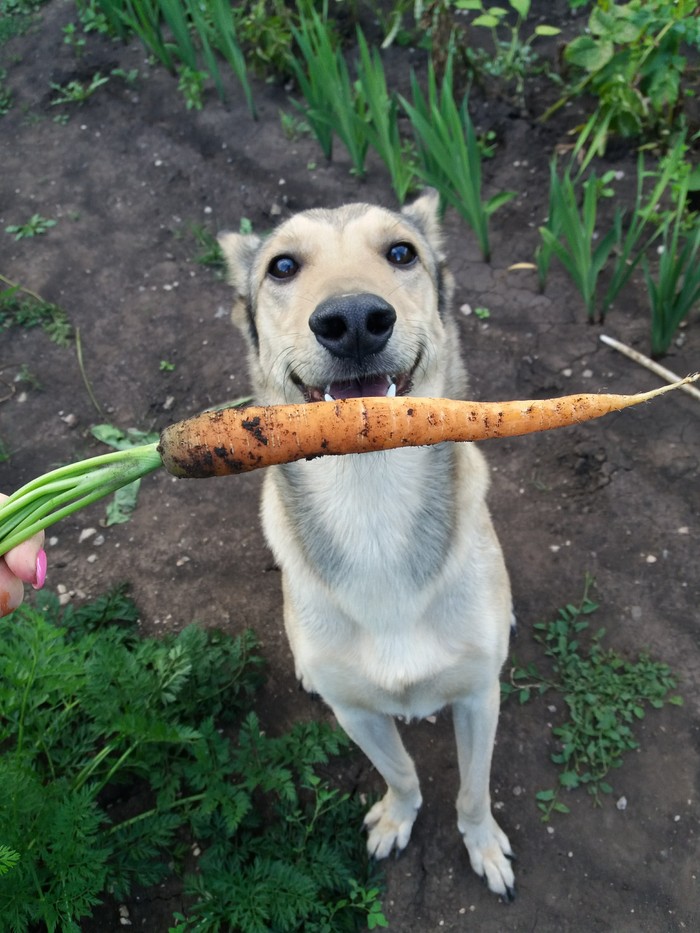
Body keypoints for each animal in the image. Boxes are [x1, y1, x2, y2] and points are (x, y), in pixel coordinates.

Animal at [221, 189, 516, 896]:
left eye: (401, 253)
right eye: (282, 266)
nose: (354, 320)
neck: (372, 505)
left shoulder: (479, 696)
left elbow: (473, 790)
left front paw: (482, 845)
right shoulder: (356, 714)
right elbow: (401, 772)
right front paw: (397, 818)